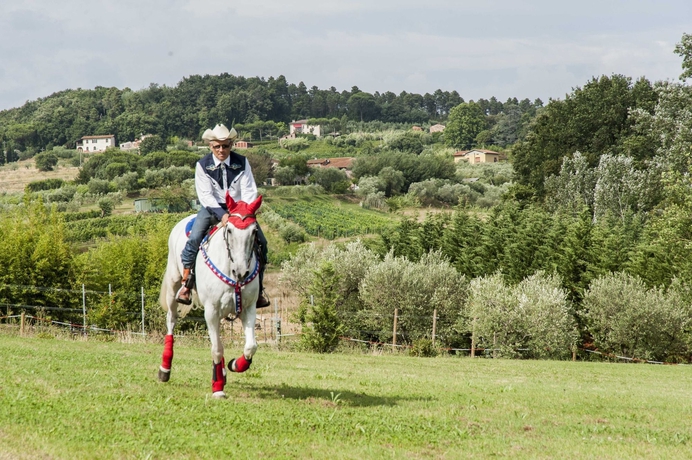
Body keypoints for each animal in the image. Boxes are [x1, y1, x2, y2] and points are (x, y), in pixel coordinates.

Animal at [158, 194, 264, 398]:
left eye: (254, 231)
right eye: (229, 230)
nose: (241, 272)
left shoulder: (249, 308)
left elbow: (250, 346)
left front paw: (235, 364)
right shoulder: (211, 311)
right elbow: (216, 349)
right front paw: (217, 388)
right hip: (174, 287)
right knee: (171, 321)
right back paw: (164, 369)